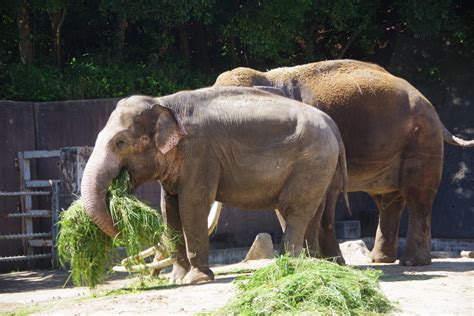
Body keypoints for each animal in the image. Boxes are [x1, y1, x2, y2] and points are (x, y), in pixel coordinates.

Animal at [80, 86, 348, 284]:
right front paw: (177, 281)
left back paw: (291, 264)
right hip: (321, 166)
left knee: (295, 209)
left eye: (120, 142)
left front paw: (196, 280)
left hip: (312, 161)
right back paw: (312, 261)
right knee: (316, 211)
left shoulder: (199, 154)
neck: (164, 102)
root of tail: (332, 123)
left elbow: (192, 205)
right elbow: (169, 209)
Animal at [215, 59, 474, 266]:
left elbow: (323, 196)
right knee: (388, 200)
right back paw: (380, 260)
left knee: (417, 196)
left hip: (421, 140)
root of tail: (433, 109)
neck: (267, 77)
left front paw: (330, 262)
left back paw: (412, 262)